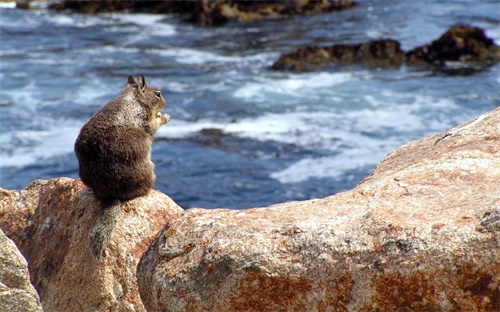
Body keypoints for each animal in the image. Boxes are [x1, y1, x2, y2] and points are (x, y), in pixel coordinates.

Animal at [74, 74, 171, 260]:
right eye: (158, 94)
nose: (166, 103)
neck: (133, 98)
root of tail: (113, 194)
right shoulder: (143, 118)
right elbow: (153, 126)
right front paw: (164, 117)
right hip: (149, 170)